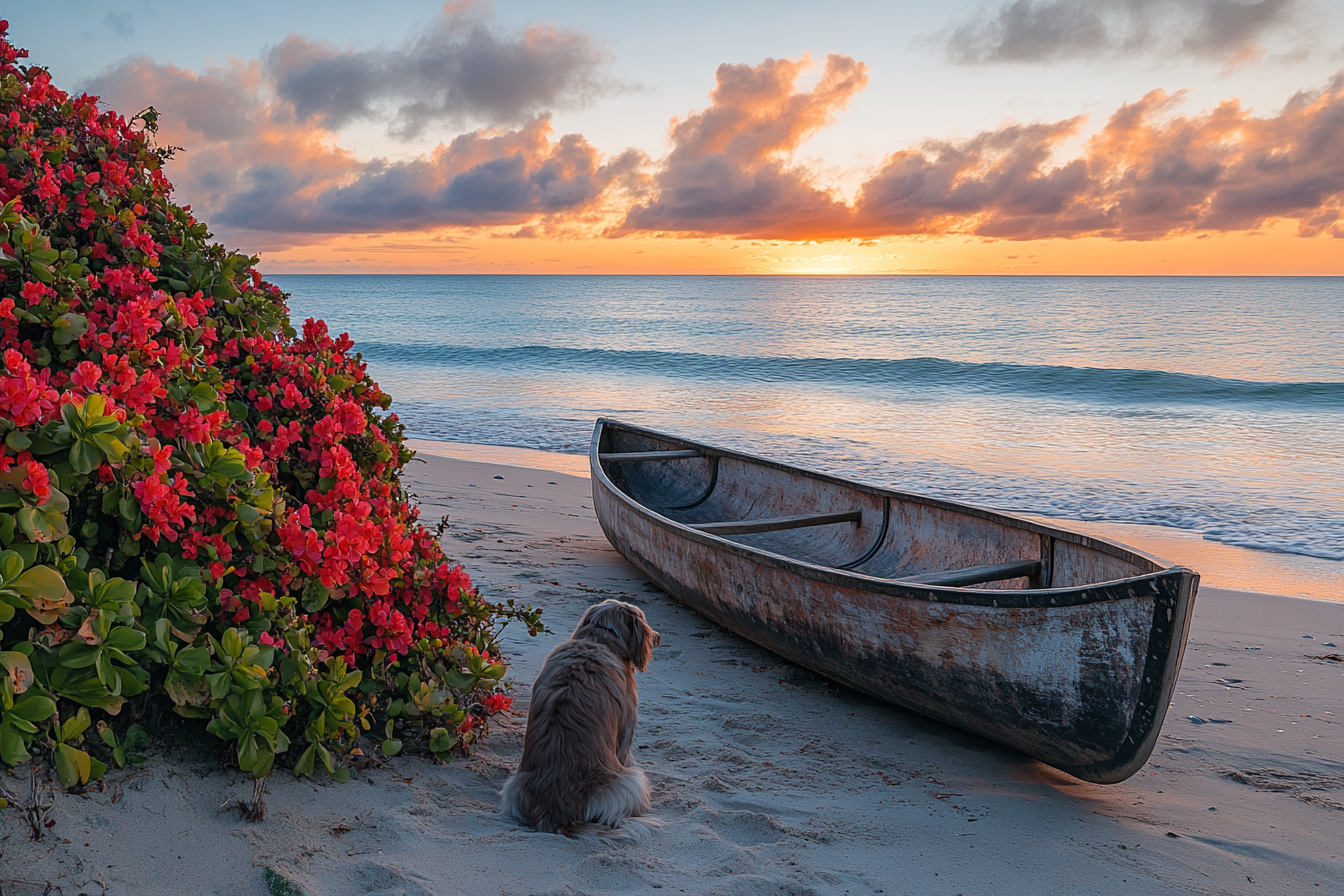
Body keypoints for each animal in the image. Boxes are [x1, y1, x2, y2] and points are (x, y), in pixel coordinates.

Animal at [499, 599, 661, 838]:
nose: (658, 637)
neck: (598, 638)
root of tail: (555, 816)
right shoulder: (626, 729)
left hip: (512, 787)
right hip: (633, 781)